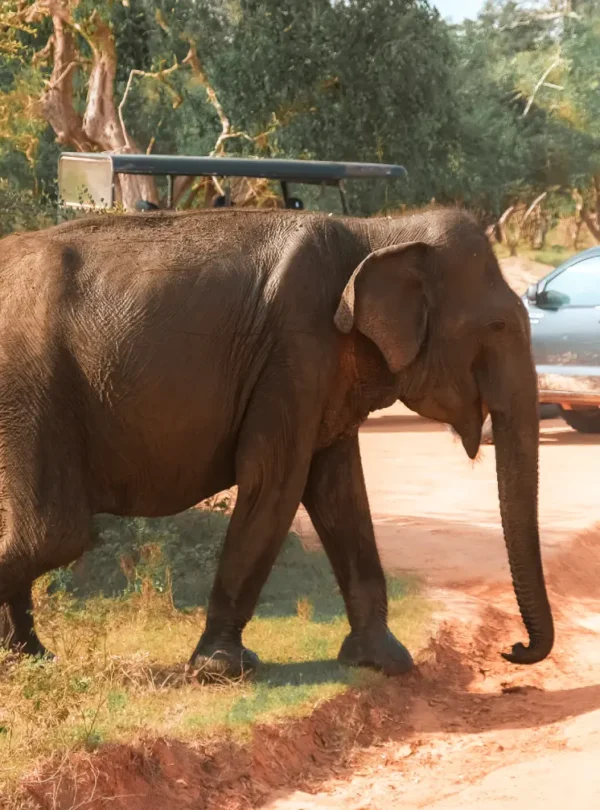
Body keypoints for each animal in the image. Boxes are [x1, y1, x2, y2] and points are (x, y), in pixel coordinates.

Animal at [0, 207, 554, 678]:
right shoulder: (296, 346)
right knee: (56, 533)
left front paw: (384, 662)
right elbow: (276, 479)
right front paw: (222, 669)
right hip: (31, 391)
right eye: (498, 326)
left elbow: (338, 490)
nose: (514, 649)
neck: (379, 231)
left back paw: (30, 660)